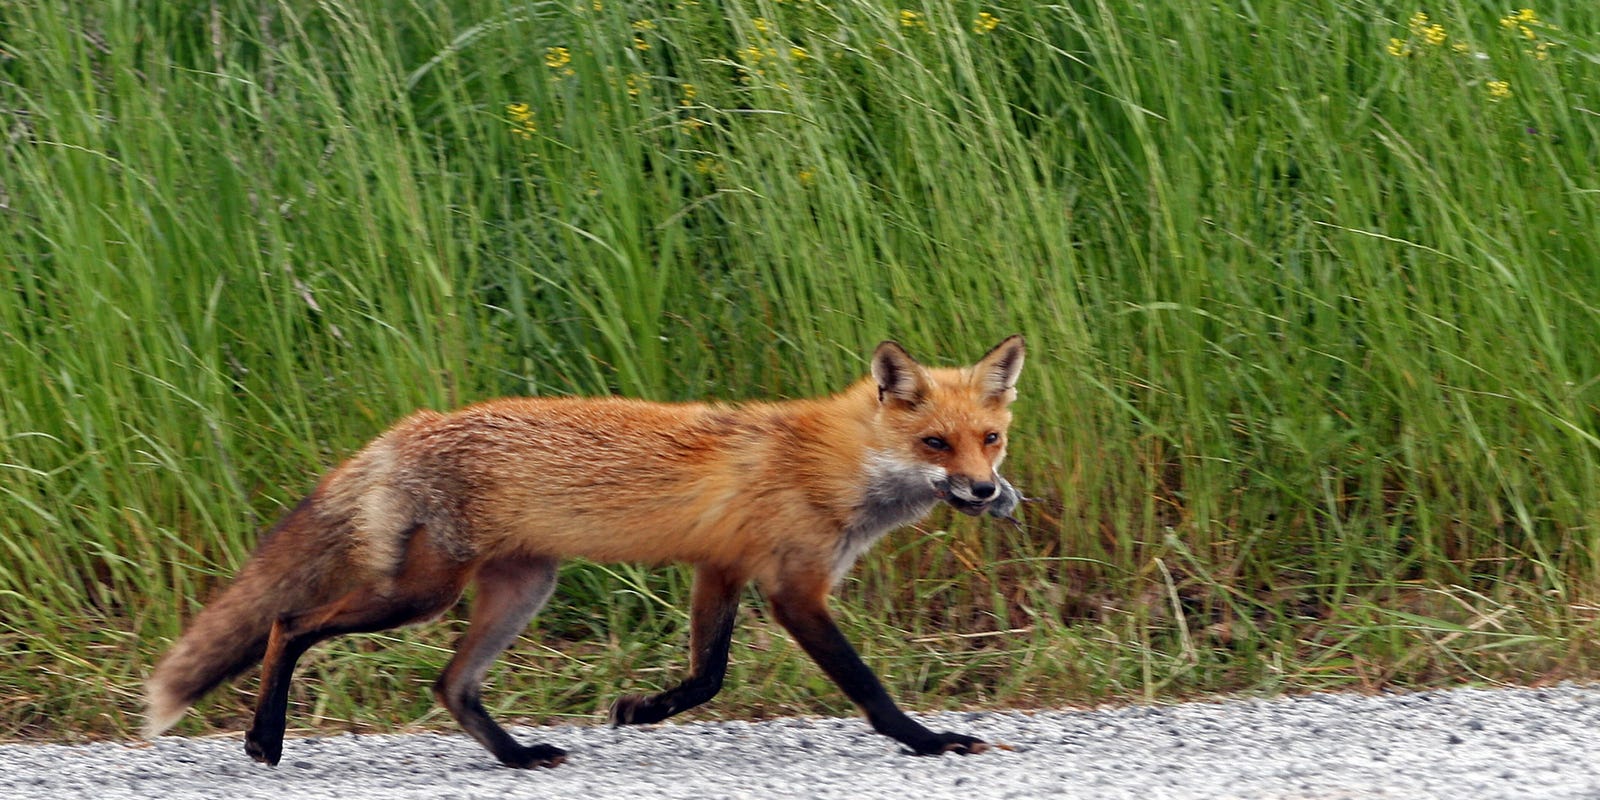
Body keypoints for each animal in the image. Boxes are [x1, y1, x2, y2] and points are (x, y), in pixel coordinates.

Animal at [143, 335, 1026, 768]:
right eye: (935, 443)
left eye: (990, 439)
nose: (986, 491)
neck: (833, 463)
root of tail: (412, 426)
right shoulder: (791, 588)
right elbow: (866, 687)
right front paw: (928, 741)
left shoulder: (721, 569)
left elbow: (707, 676)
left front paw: (639, 710)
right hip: (420, 595)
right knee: (287, 624)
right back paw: (265, 739)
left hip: (519, 590)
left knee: (451, 685)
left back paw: (516, 758)